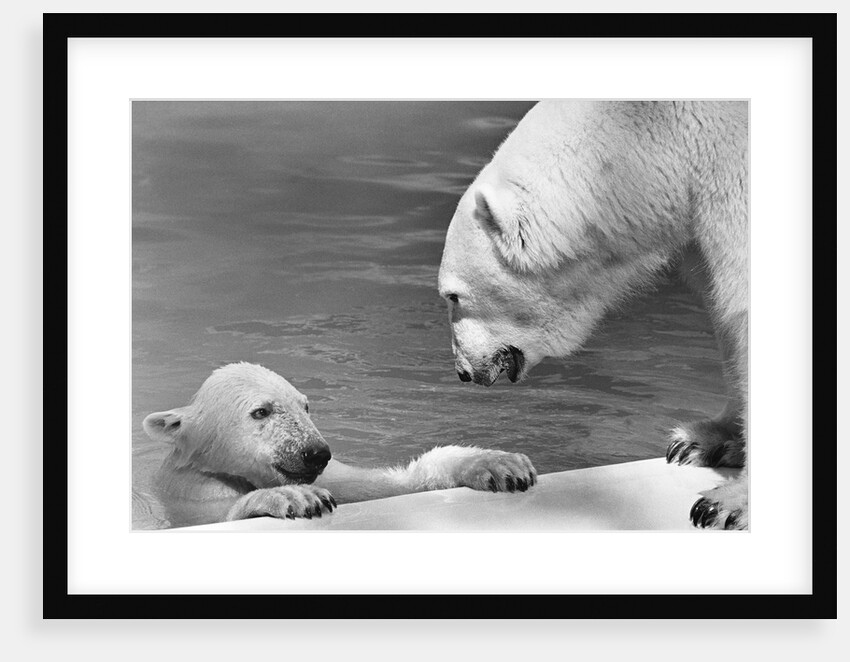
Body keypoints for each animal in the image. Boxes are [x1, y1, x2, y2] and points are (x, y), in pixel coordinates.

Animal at [143, 362, 537, 528]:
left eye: (305, 405)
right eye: (261, 412)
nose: (316, 453)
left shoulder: (336, 475)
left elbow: (388, 484)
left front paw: (497, 464)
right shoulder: (196, 491)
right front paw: (296, 498)